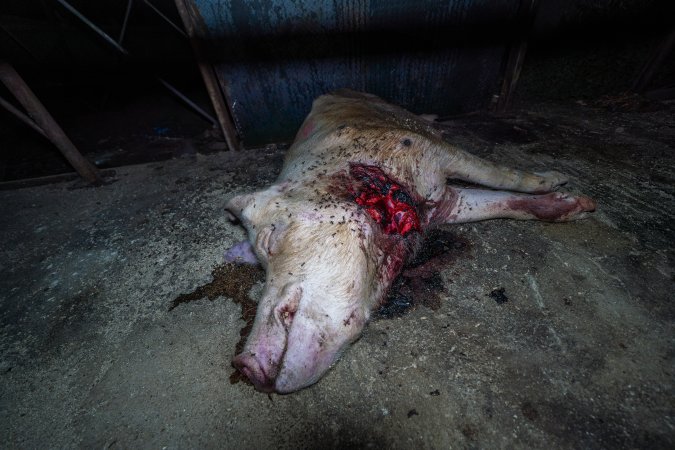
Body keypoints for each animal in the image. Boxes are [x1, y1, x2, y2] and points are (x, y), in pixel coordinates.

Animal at [224, 89, 596, 392]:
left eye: (269, 240)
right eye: (259, 263)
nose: (243, 364)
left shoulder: (429, 149)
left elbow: (504, 176)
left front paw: (566, 184)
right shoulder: (447, 205)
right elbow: (498, 202)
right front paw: (579, 205)